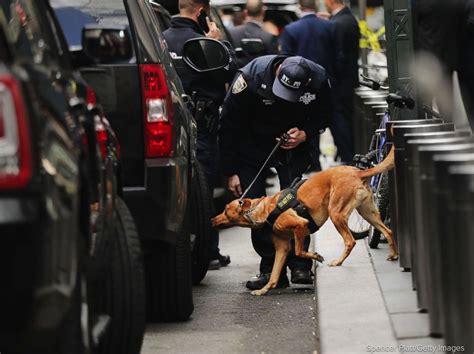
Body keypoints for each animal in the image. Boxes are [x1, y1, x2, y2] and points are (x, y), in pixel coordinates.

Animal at [213, 148, 398, 294]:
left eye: (225, 210)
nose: (212, 219)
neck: (263, 210)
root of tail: (358, 171)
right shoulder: (281, 248)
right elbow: (274, 274)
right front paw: (263, 290)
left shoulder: (301, 225)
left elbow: (299, 251)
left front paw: (316, 256)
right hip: (368, 213)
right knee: (388, 230)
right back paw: (393, 255)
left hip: (336, 214)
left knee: (350, 241)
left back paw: (338, 261)